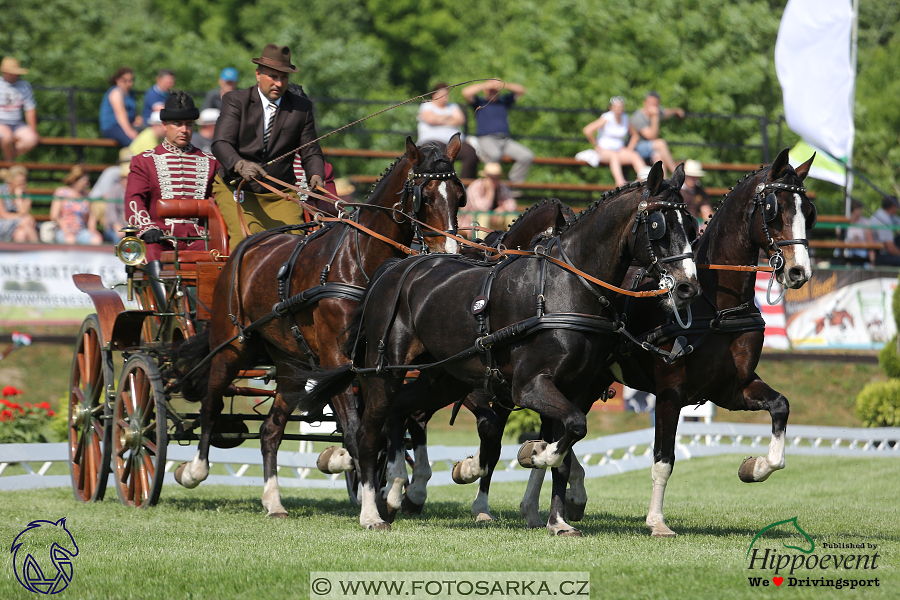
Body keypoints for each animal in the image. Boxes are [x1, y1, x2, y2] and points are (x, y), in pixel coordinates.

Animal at [171, 135, 464, 516]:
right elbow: (356, 430)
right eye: (423, 196)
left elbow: (381, 425)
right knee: (211, 404)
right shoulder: (335, 359)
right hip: (232, 345)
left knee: (270, 429)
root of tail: (244, 247)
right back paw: (194, 470)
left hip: (290, 365)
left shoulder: (372, 362)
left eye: (459, 194)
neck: (360, 261)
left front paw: (387, 488)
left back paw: (273, 500)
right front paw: (370, 498)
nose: (452, 251)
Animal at [298, 162, 704, 532]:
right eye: (659, 226)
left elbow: (567, 445)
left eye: (693, 228)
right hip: (386, 372)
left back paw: (397, 492)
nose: (688, 288)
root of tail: (392, 270)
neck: (565, 289)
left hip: (441, 377)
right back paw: (371, 512)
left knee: (402, 415)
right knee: (368, 434)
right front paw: (535, 455)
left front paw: (558, 520)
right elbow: (567, 432)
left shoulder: (572, 388)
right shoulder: (529, 386)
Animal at [512, 148, 816, 536]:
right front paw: (657, 521)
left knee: (558, 429)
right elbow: (663, 459)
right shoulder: (671, 393)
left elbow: (780, 407)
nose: (798, 272)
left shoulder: (732, 389)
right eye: (774, 209)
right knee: (558, 429)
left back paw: (544, 498)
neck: (716, 308)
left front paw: (756, 467)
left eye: (809, 212)